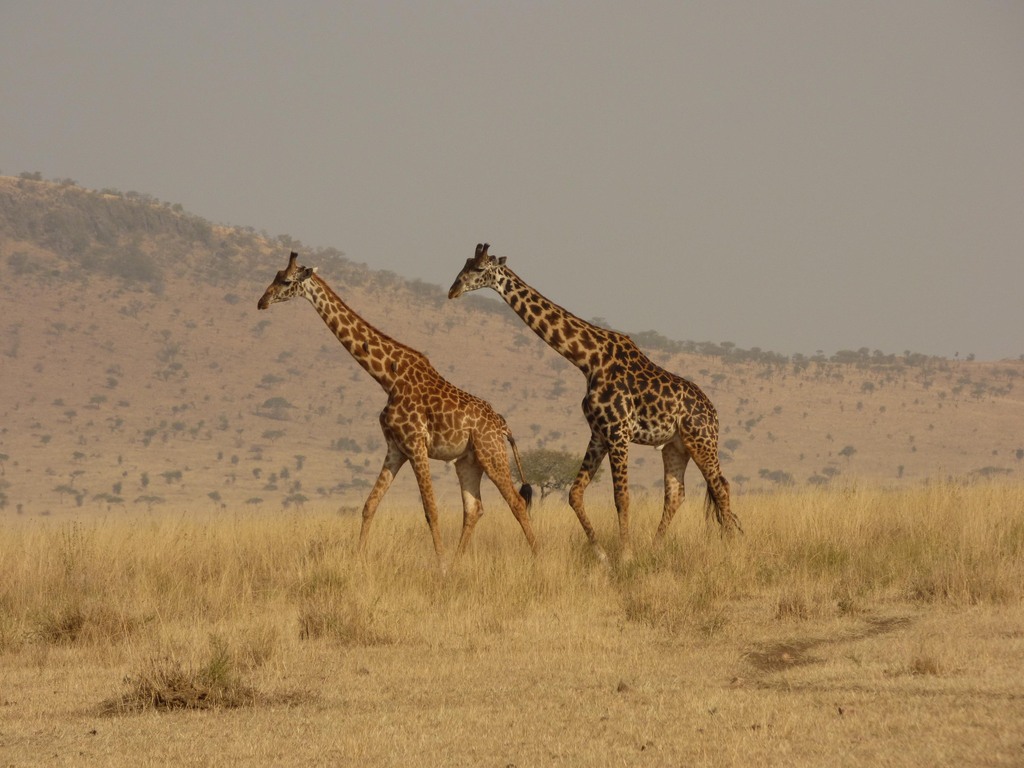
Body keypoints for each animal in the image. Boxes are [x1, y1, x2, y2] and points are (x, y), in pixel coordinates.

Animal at [258, 251, 537, 569]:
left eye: (286, 281)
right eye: (275, 275)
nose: (262, 301)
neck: (387, 378)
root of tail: (503, 425)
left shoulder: (415, 444)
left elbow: (430, 510)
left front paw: (440, 566)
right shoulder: (395, 448)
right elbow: (369, 505)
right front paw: (358, 558)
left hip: (491, 452)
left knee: (516, 502)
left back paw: (537, 558)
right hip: (469, 461)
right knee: (474, 508)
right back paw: (458, 563)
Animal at [448, 243, 741, 563]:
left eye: (478, 268)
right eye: (465, 263)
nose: (453, 290)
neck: (588, 359)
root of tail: (713, 413)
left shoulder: (618, 432)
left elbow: (621, 496)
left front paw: (626, 555)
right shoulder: (599, 433)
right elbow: (575, 493)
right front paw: (602, 553)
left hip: (701, 441)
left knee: (721, 486)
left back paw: (729, 547)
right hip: (675, 447)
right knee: (677, 494)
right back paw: (655, 548)